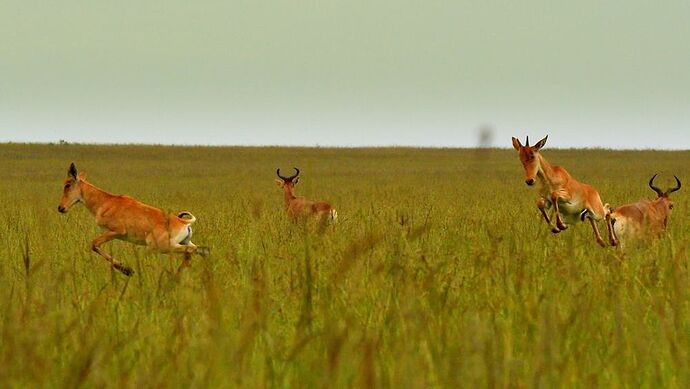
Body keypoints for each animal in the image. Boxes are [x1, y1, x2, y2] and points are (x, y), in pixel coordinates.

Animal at [56, 162, 206, 274]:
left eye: (67, 184)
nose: (61, 208)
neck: (107, 202)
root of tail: (183, 221)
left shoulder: (116, 231)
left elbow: (94, 244)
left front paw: (127, 270)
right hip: (183, 242)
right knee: (201, 250)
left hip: (163, 247)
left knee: (193, 251)